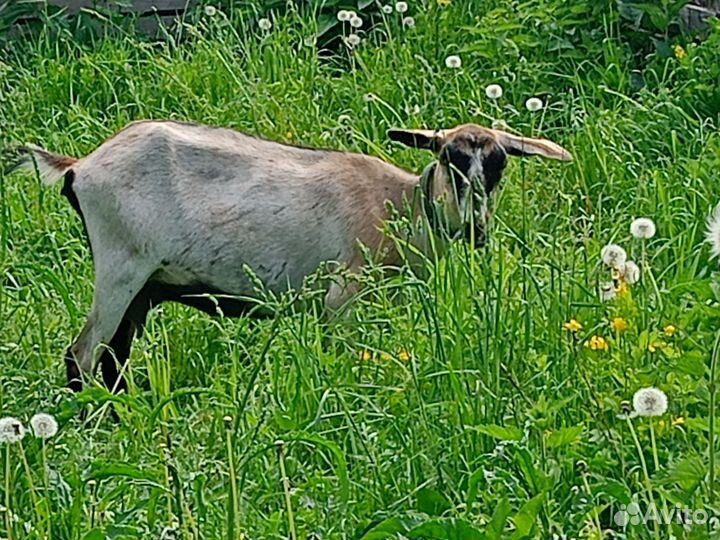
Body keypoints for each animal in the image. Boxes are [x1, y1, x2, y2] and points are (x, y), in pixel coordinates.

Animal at [11, 120, 572, 393]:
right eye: (448, 158)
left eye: (498, 164)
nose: (476, 227)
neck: (402, 203)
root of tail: (80, 166)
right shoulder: (343, 298)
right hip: (120, 267)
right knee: (83, 355)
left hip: (145, 288)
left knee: (112, 359)